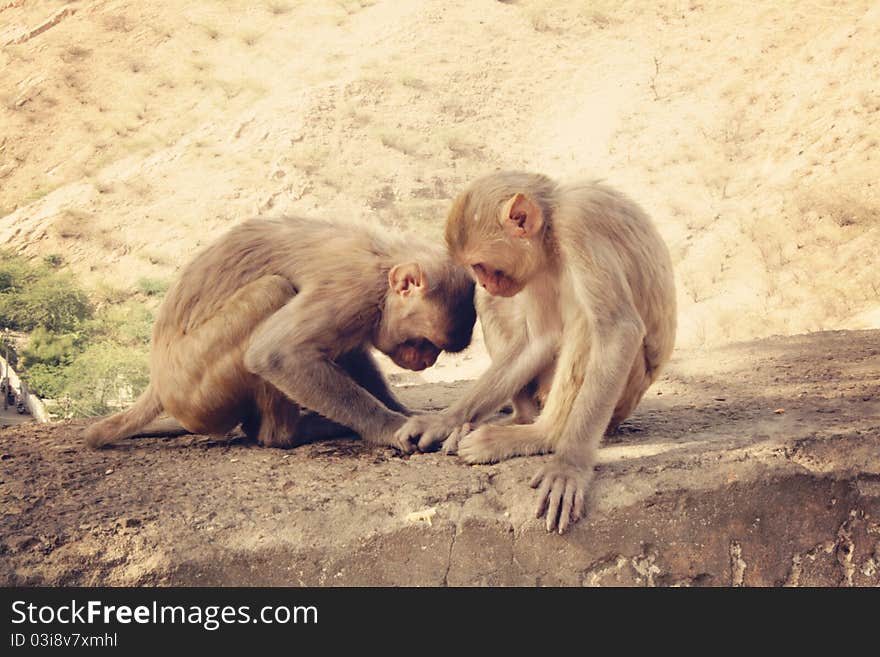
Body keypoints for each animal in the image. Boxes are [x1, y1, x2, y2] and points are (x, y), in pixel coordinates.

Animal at [84, 215, 474, 452]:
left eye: (433, 350)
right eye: (422, 343)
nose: (426, 361)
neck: (383, 269)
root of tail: (158, 384)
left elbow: (348, 353)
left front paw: (405, 411)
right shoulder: (353, 292)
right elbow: (278, 354)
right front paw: (390, 427)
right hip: (195, 388)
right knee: (270, 292)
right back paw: (286, 434)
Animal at [396, 172, 676, 532]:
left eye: (480, 265)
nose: (483, 282)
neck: (552, 229)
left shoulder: (578, 227)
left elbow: (617, 331)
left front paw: (569, 465)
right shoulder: (536, 267)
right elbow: (540, 338)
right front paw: (445, 420)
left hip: (626, 394)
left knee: (587, 322)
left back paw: (544, 435)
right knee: (497, 306)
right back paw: (516, 419)